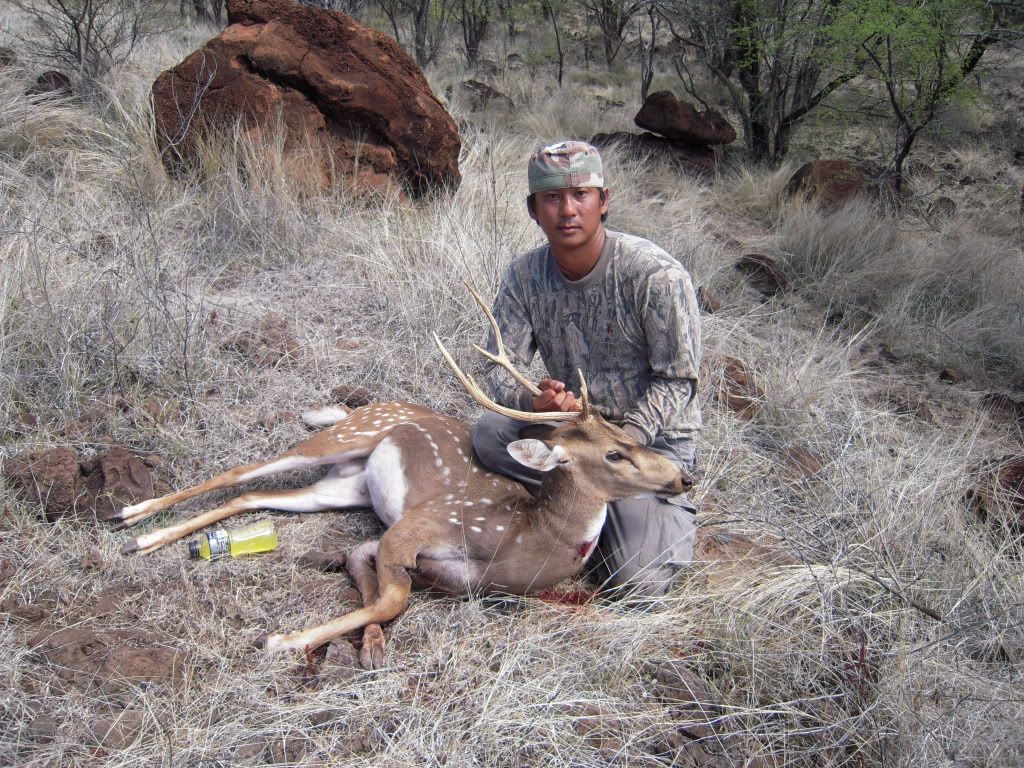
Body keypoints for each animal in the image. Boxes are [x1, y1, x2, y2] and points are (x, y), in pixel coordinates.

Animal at [114, 286, 694, 668]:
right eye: (615, 453)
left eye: (632, 436)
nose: (682, 480)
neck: (524, 541)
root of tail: (365, 408)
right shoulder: (423, 523)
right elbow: (393, 597)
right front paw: (281, 640)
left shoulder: (400, 541)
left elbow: (369, 574)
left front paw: (357, 641)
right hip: (346, 437)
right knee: (245, 469)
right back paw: (131, 518)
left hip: (344, 486)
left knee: (254, 495)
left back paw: (148, 538)